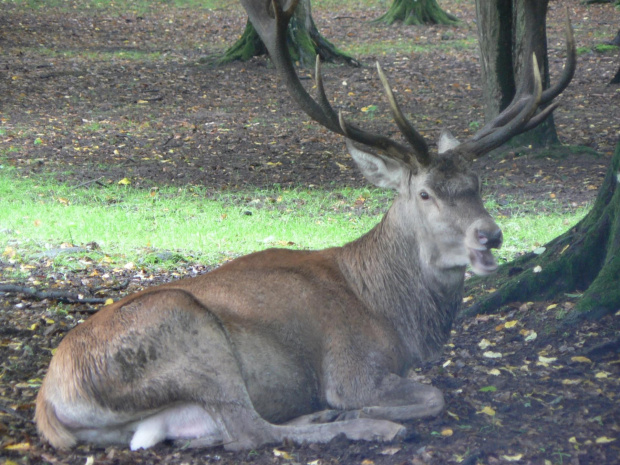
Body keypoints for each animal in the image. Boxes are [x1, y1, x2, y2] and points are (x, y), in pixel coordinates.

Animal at [35, 0, 576, 450]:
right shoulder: (351, 366)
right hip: (189, 333)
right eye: (425, 193)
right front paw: (365, 411)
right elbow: (432, 395)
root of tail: (49, 401)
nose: (491, 235)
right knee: (248, 432)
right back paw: (367, 426)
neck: (390, 314)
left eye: (477, 183)